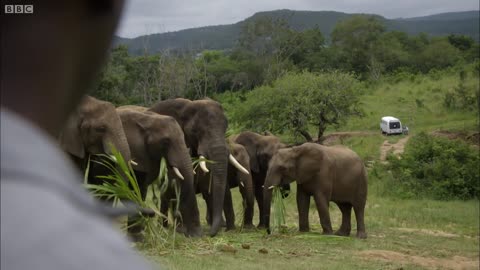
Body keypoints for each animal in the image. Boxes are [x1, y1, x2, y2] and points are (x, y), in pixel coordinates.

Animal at [149, 98, 248, 236]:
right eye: (195, 131)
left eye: (225, 128)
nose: (211, 234)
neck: (187, 106)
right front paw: (183, 230)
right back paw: (166, 227)